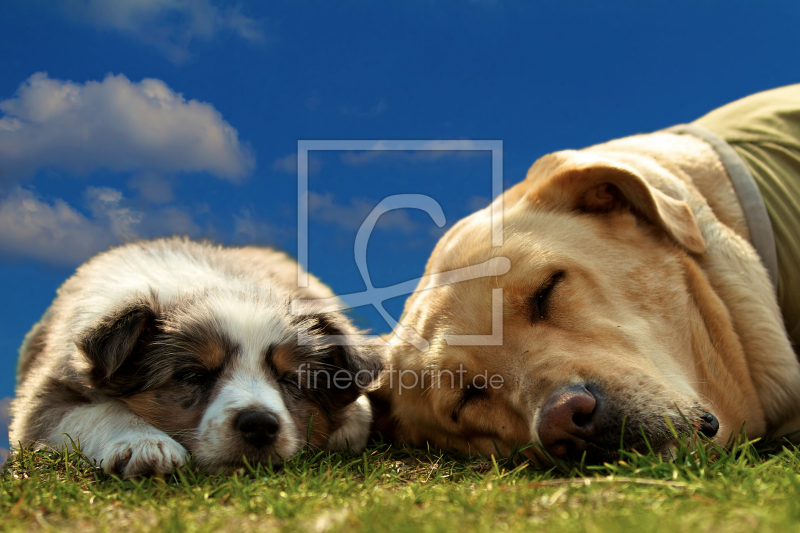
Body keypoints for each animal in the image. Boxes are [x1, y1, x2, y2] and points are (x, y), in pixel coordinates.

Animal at [8, 237, 378, 478]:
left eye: (289, 380)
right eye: (193, 375)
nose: (259, 424)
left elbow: (360, 411)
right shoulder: (42, 399)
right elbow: (96, 409)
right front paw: (144, 443)